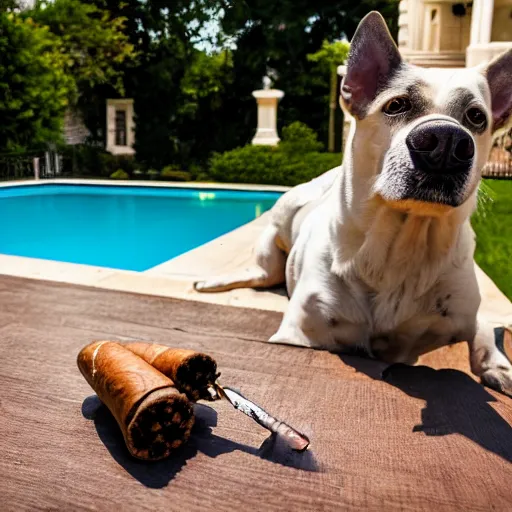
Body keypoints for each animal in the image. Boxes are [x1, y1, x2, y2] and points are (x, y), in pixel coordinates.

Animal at [195, 11, 512, 396]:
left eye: (476, 117)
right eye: (396, 105)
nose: (446, 141)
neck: (403, 246)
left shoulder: (467, 311)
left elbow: (487, 330)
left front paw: (499, 368)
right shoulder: (299, 333)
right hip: (275, 235)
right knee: (260, 272)